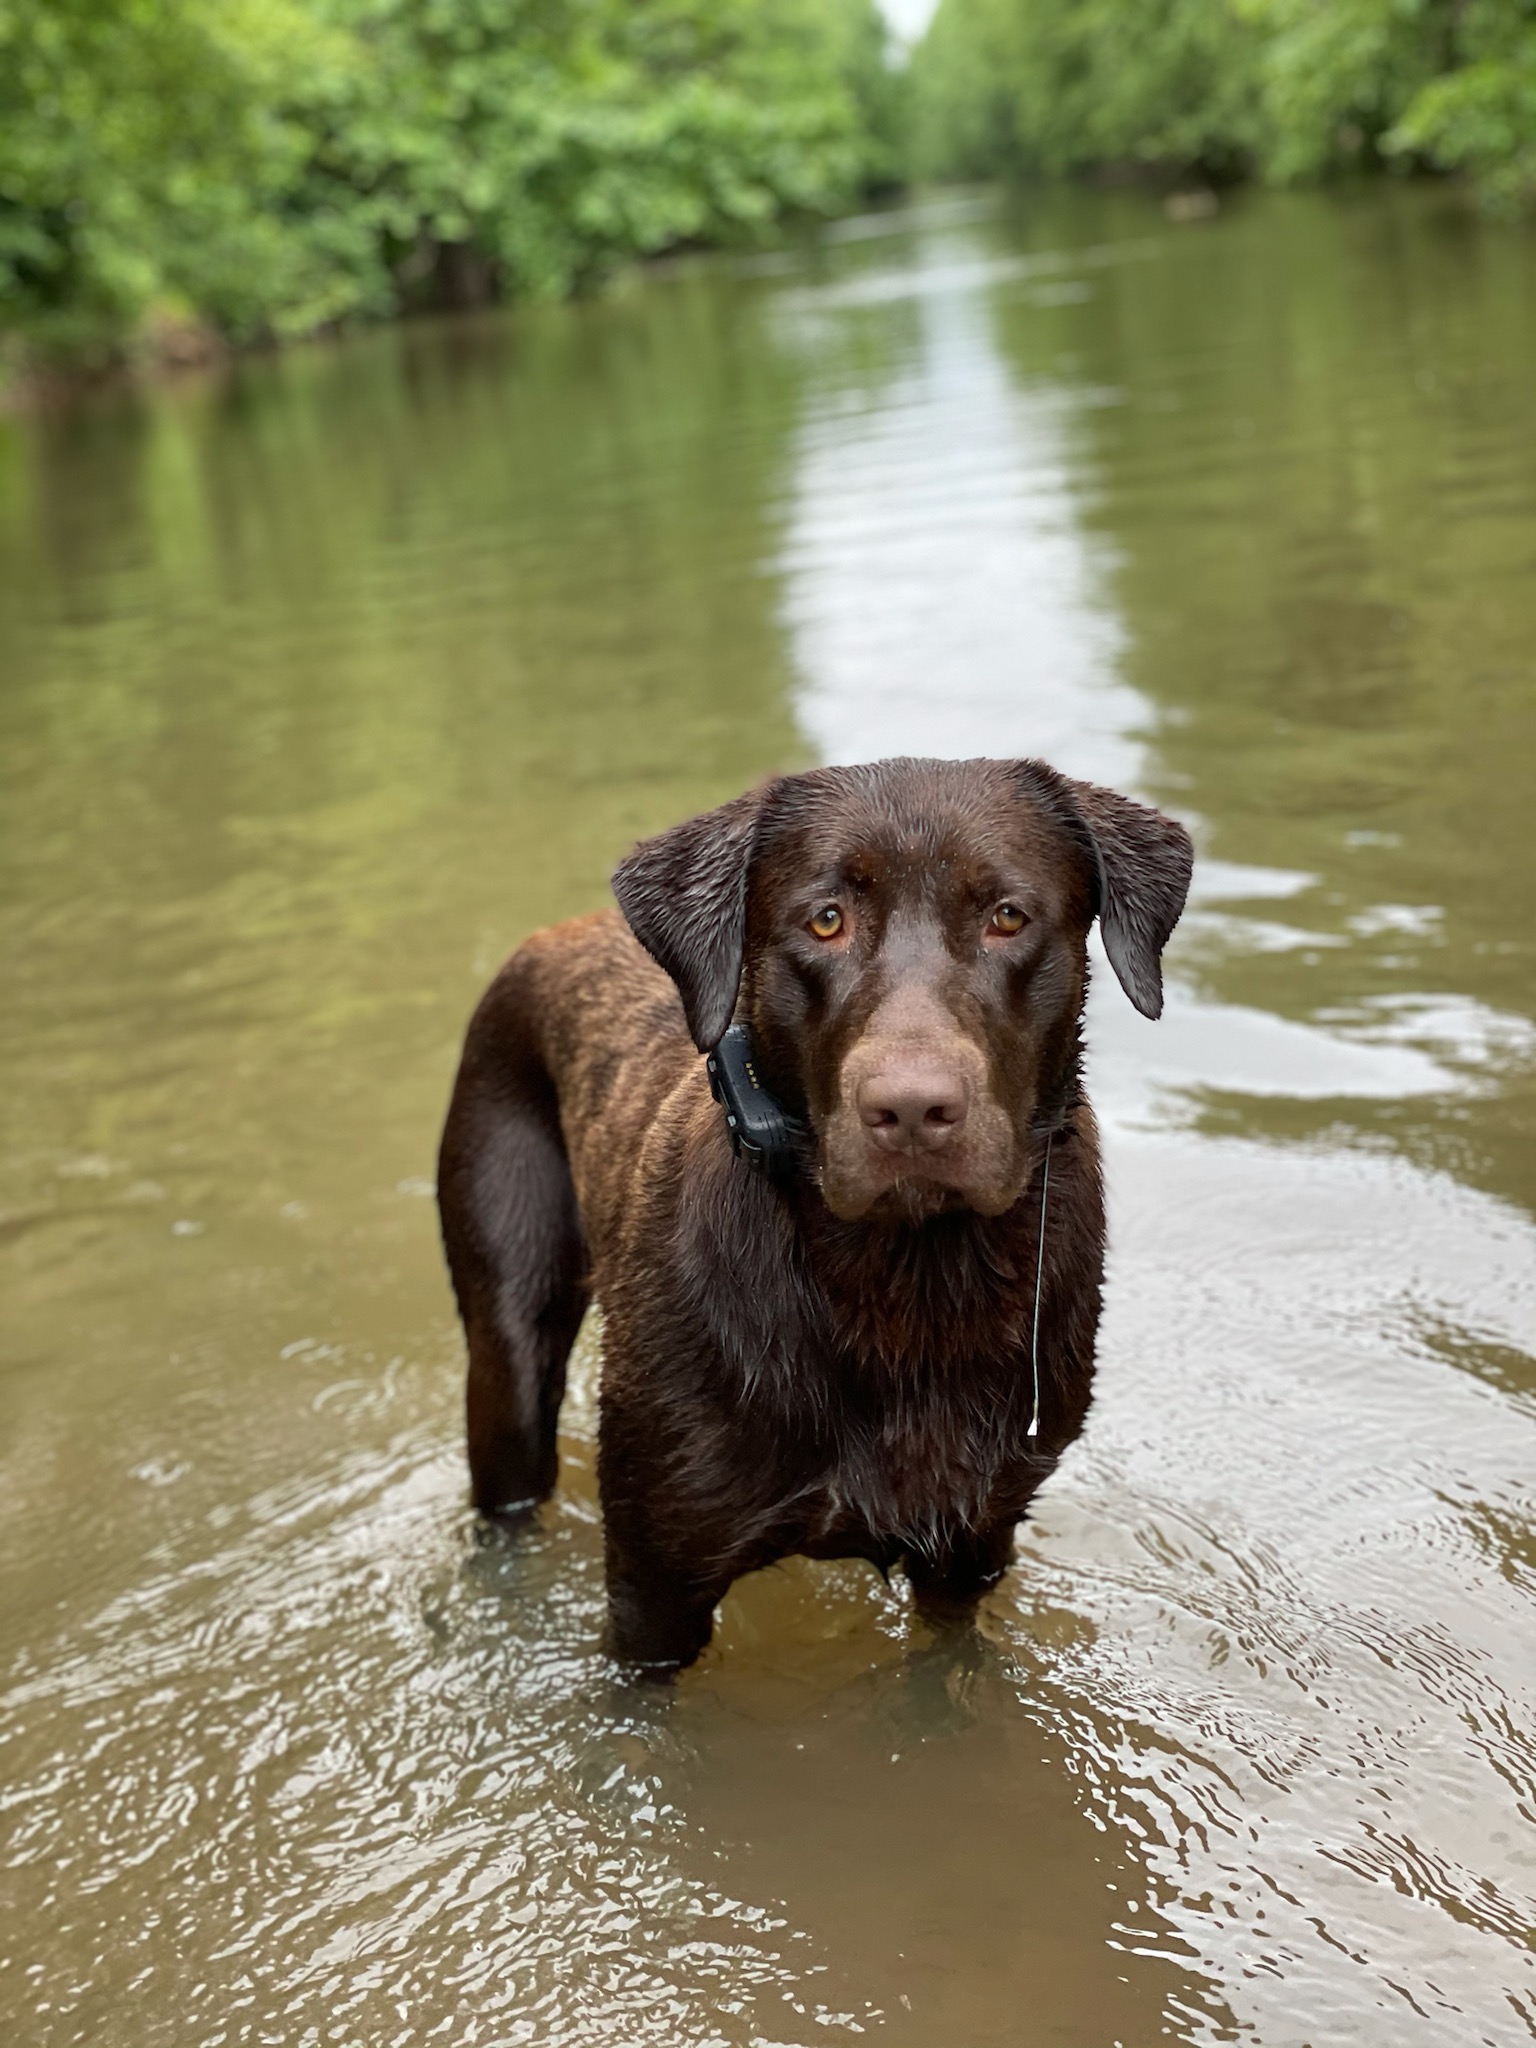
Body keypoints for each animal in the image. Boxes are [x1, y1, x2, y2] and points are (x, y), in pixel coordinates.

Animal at [438, 753, 1196, 1662]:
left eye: (1008, 917)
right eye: (826, 920)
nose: (912, 1108)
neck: (909, 1289)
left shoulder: (973, 1544)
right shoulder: (653, 1582)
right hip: (508, 1328)